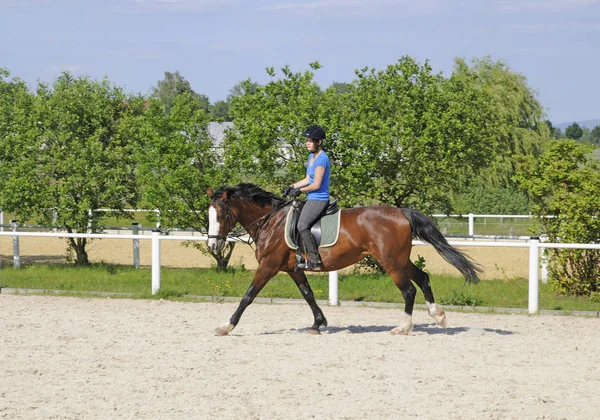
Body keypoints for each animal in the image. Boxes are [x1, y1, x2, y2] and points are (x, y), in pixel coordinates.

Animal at [209, 182, 480, 336]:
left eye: (220, 215)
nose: (213, 245)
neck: (270, 221)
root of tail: (401, 212)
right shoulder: (293, 269)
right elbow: (308, 294)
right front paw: (318, 323)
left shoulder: (268, 266)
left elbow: (248, 296)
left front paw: (226, 326)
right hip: (400, 260)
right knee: (423, 278)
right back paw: (438, 315)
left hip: (390, 262)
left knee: (409, 290)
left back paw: (403, 327)